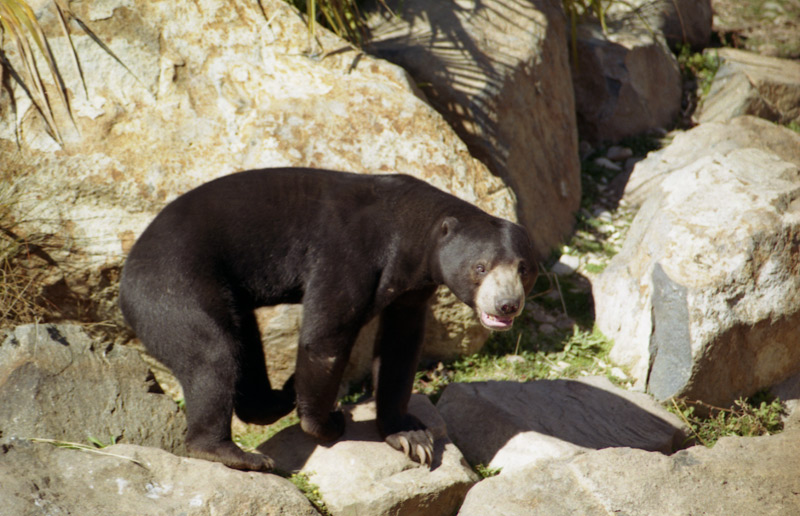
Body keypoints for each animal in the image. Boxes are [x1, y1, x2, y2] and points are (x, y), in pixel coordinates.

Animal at [119, 169, 540, 472]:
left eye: (525, 269)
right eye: (480, 268)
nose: (507, 306)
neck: (415, 234)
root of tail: (127, 272)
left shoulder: (413, 287)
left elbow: (401, 344)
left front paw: (410, 436)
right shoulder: (350, 254)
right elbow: (325, 336)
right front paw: (329, 424)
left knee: (243, 344)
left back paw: (278, 396)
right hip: (174, 286)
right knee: (212, 354)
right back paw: (236, 453)